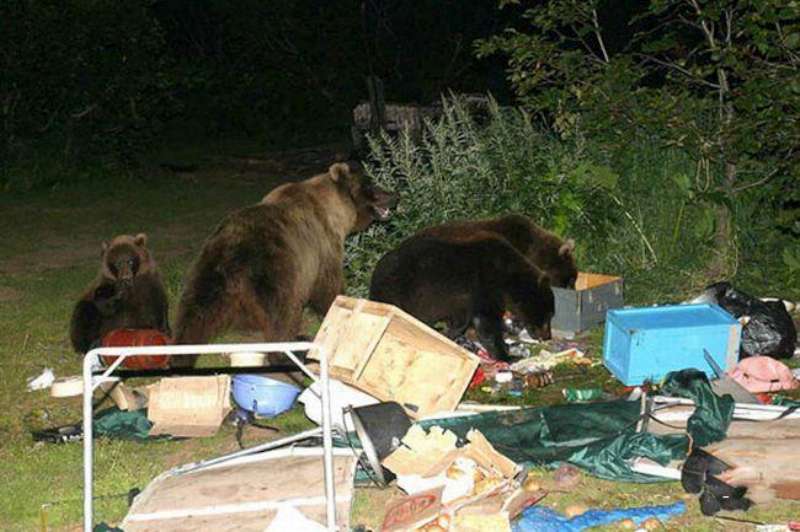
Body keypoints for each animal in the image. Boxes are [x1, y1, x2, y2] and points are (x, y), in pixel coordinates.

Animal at [172, 162, 396, 367]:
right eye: (371, 184)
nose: (394, 195)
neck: (335, 211)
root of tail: (234, 250)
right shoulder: (323, 247)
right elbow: (328, 286)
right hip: (277, 270)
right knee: (283, 313)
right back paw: (290, 351)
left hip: (210, 271)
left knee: (195, 314)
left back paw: (181, 355)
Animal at [369, 234, 554, 362]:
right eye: (548, 315)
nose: (547, 336)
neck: (507, 279)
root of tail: (375, 273)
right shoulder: (485, 286)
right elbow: (487, 322)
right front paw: (506, 355)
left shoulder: (462, 299)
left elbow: (463, 320)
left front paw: (450, 333)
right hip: (399, 293)